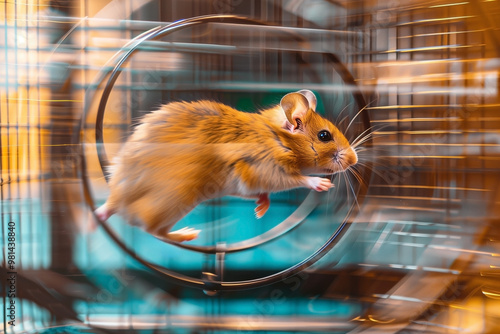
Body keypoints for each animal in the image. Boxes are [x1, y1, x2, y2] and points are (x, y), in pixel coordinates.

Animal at [95, 90, 358, 243]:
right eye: (324, 136)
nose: (355, 160)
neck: (277, 138)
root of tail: (113, 201)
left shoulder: (244, 186)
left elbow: (261, 193)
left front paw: (260, 210)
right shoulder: (263, 169)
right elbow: (294, 179)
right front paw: (322, 184)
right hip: (174, 202)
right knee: (152, 231)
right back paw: (188, 234)